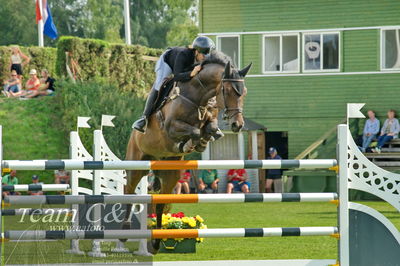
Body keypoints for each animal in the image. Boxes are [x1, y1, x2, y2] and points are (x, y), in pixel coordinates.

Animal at [123, 51, 252, 252]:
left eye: (243, 93)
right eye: (228, 91)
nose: (237, 125)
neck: (198, 97)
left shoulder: (209, 119)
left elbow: (209, 129)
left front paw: (200, 143)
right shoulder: (171, 127)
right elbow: (194, 131)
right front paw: (189, 144)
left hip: (170, 174)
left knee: (160, 204)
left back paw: (156, 242)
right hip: (136, 164)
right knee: (128, 190)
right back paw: (124, 230)